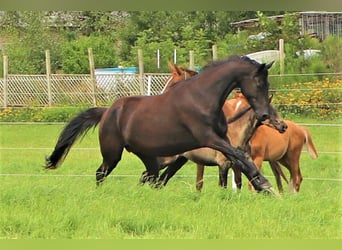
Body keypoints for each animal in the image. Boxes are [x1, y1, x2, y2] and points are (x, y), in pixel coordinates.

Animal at [44, 55, 276, 193]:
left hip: (148, 156)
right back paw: (100, 194)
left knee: (151, 177)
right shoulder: (209, 138)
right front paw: (265, 185)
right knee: (101, 173)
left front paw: (261, 185)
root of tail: (107, 111)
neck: (203, 98)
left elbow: (239, 158)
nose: (264, 114)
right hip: (113, 154)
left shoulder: (222, 140)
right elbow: (238, 156)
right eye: (259, 82)